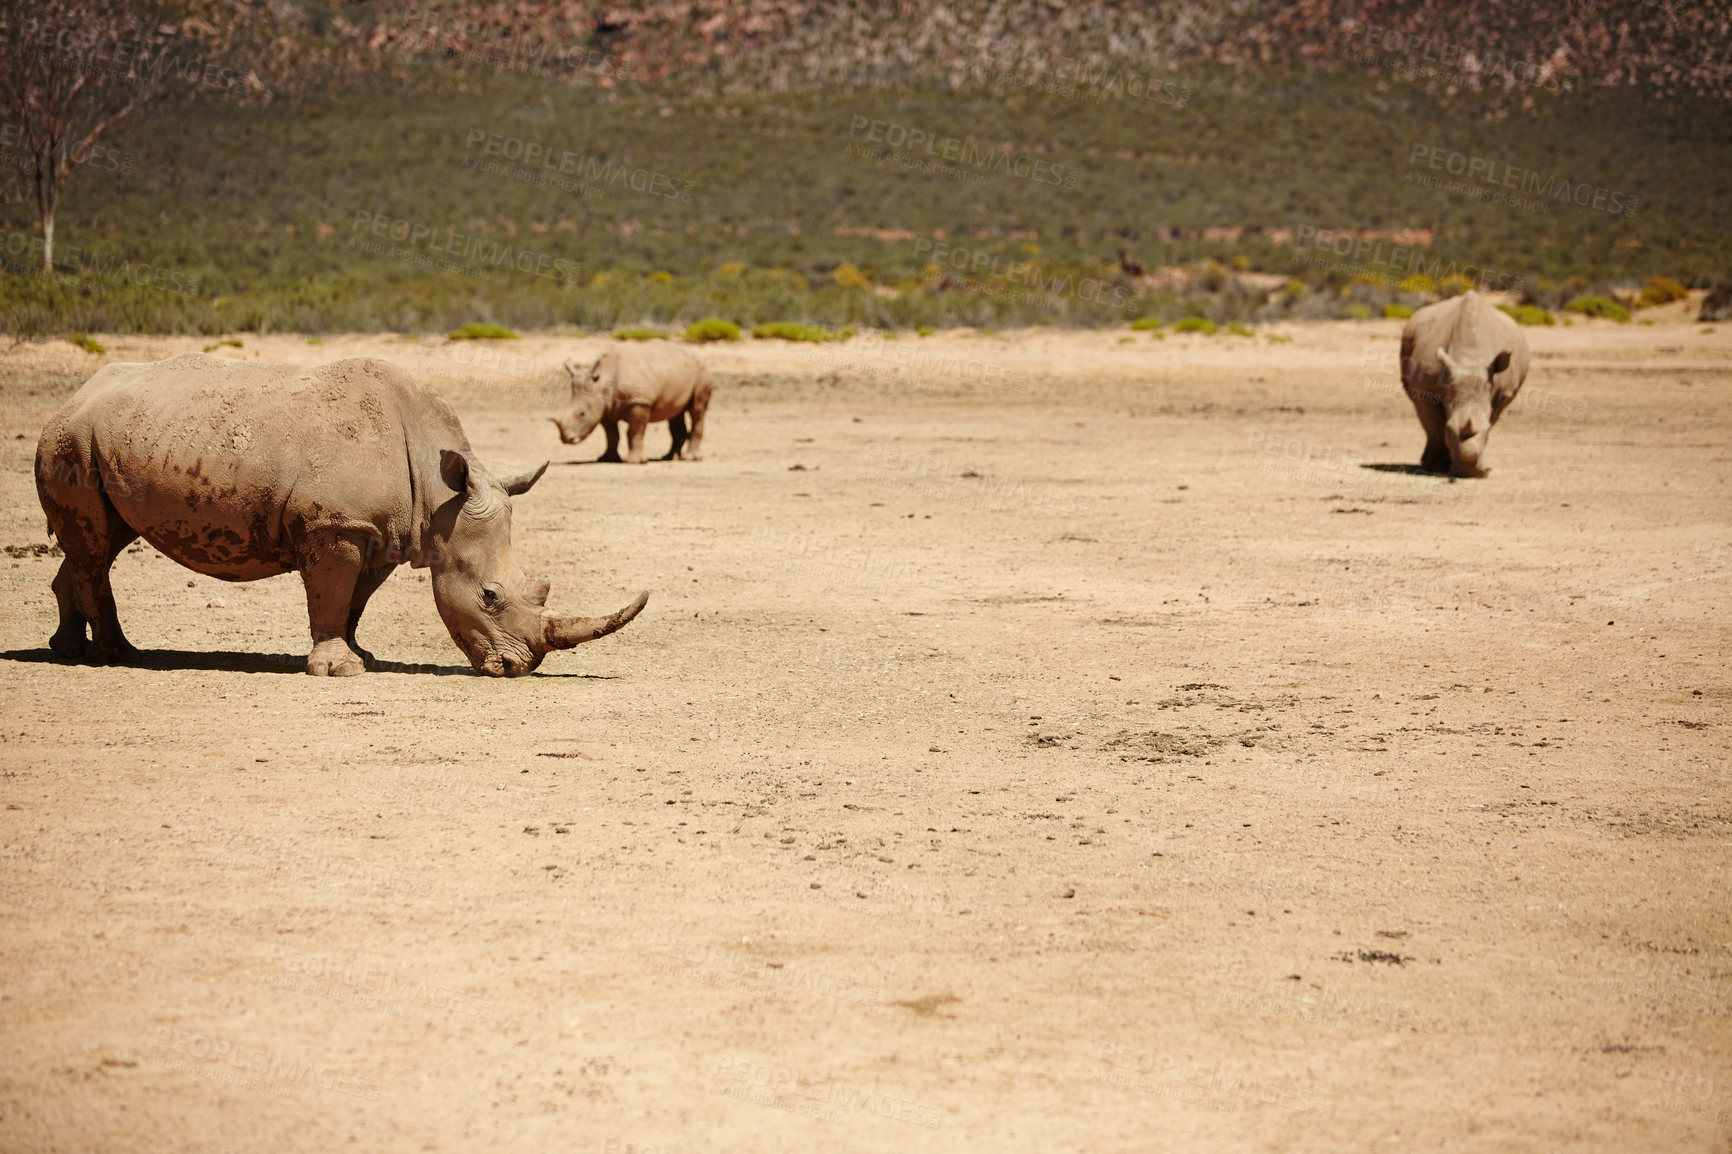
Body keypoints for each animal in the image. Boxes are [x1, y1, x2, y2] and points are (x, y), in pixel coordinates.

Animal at [38, 350, 651, 675]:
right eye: (490, 596)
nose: (520, 668)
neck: (439, 495)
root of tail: (73, 397)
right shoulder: (335, 525)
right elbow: (331, 593)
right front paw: (340, 669)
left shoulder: (382, 533)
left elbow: (355, 599)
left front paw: (360, 655)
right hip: (72, 441)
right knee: (95, 546)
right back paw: (118, 656)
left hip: (107, 438)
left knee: (98, 542)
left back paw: (69, 651)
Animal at [557, 341, 713, 464]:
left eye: (582, 414)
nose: (566, 439)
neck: (602, 383)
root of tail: (699, 355)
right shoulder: (605, 409)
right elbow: (612, 435)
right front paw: (607, 459)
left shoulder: (639, 403)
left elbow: (635, 432)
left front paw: (634, 462)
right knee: (675, 414)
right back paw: (668, 457)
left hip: (702, 371)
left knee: (697, 409)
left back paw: (690, 458)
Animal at [1392, 289, 1531, 474]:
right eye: (1449, 429)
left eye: (1487, 431)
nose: (1468, 472)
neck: (1470, 358)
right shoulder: (1423, 390)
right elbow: (1433, 426)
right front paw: (1434, 465)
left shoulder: (1502, 393)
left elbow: (1490, 418)